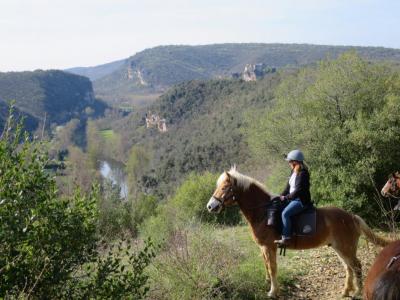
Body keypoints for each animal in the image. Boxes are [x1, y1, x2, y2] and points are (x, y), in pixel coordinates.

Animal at [206, 166, 390, 298]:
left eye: (225, 187)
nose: (210, 206)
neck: (263, 212)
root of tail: (351, 216)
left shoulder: (269, 247)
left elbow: (272, 268)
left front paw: (273, 292)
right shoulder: (263, 248)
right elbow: (267, 266)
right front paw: (269, 285)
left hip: (346, 247)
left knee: (356, 266)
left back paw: (357, 291)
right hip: (339, 247)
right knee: (348, 267)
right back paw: (346, 291)